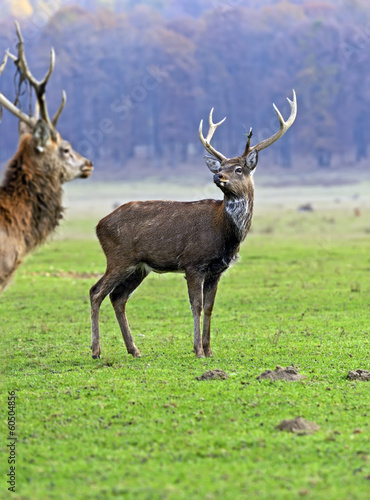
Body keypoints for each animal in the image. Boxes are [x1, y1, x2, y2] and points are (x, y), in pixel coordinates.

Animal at [91, 92, 296, 358]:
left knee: (118, 297)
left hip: (138, 267)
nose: (218, 176)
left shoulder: (217, 269)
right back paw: (96, 350)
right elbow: (196, 306)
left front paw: (209, 350)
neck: (226, 236)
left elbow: (209, 307)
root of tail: (99, 225)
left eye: (238, 169)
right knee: (96, 292)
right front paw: (197, 349)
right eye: (221, 167)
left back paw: (134, 350)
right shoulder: (193, 263)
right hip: (119, 257)